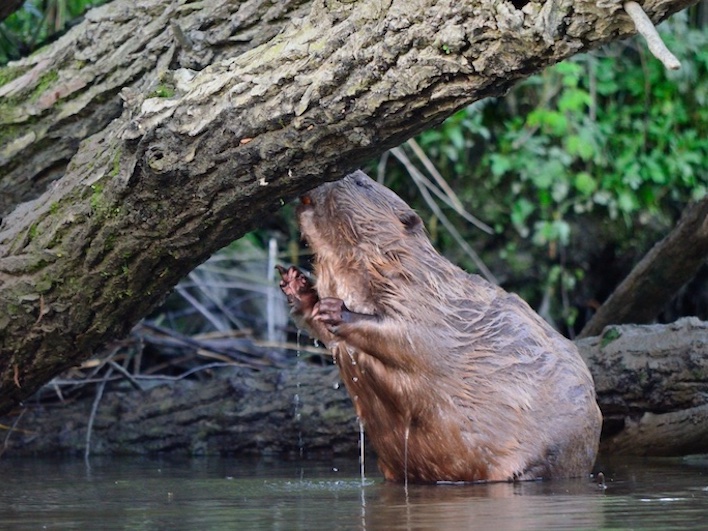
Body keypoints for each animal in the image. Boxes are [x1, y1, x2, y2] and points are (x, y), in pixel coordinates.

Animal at [280, 170, 600, 482]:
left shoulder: (426, 299)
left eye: (360, 183)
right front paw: (297, 285)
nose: (324, 179)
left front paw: (336, 309)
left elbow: (409, 338)